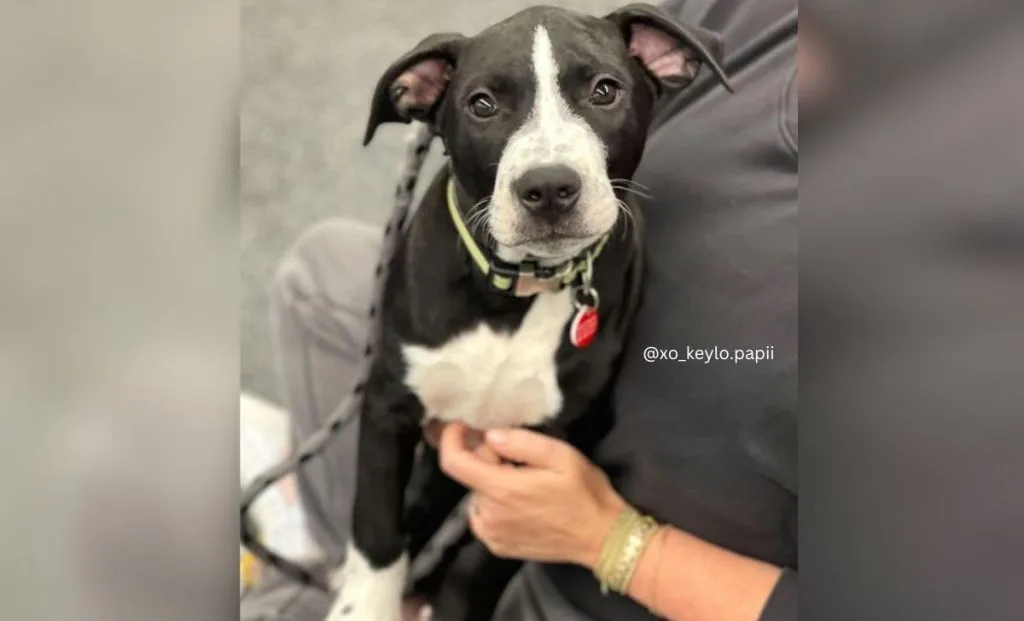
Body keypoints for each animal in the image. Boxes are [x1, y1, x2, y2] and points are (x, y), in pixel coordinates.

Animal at [327, 4, 729, 621]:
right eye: (481, 104)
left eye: (605, 90)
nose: (549, 188)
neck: (513, 294)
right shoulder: (387, 403)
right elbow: (376, 530)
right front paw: (365, 603)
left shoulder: (550, 448)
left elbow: (480, 560)